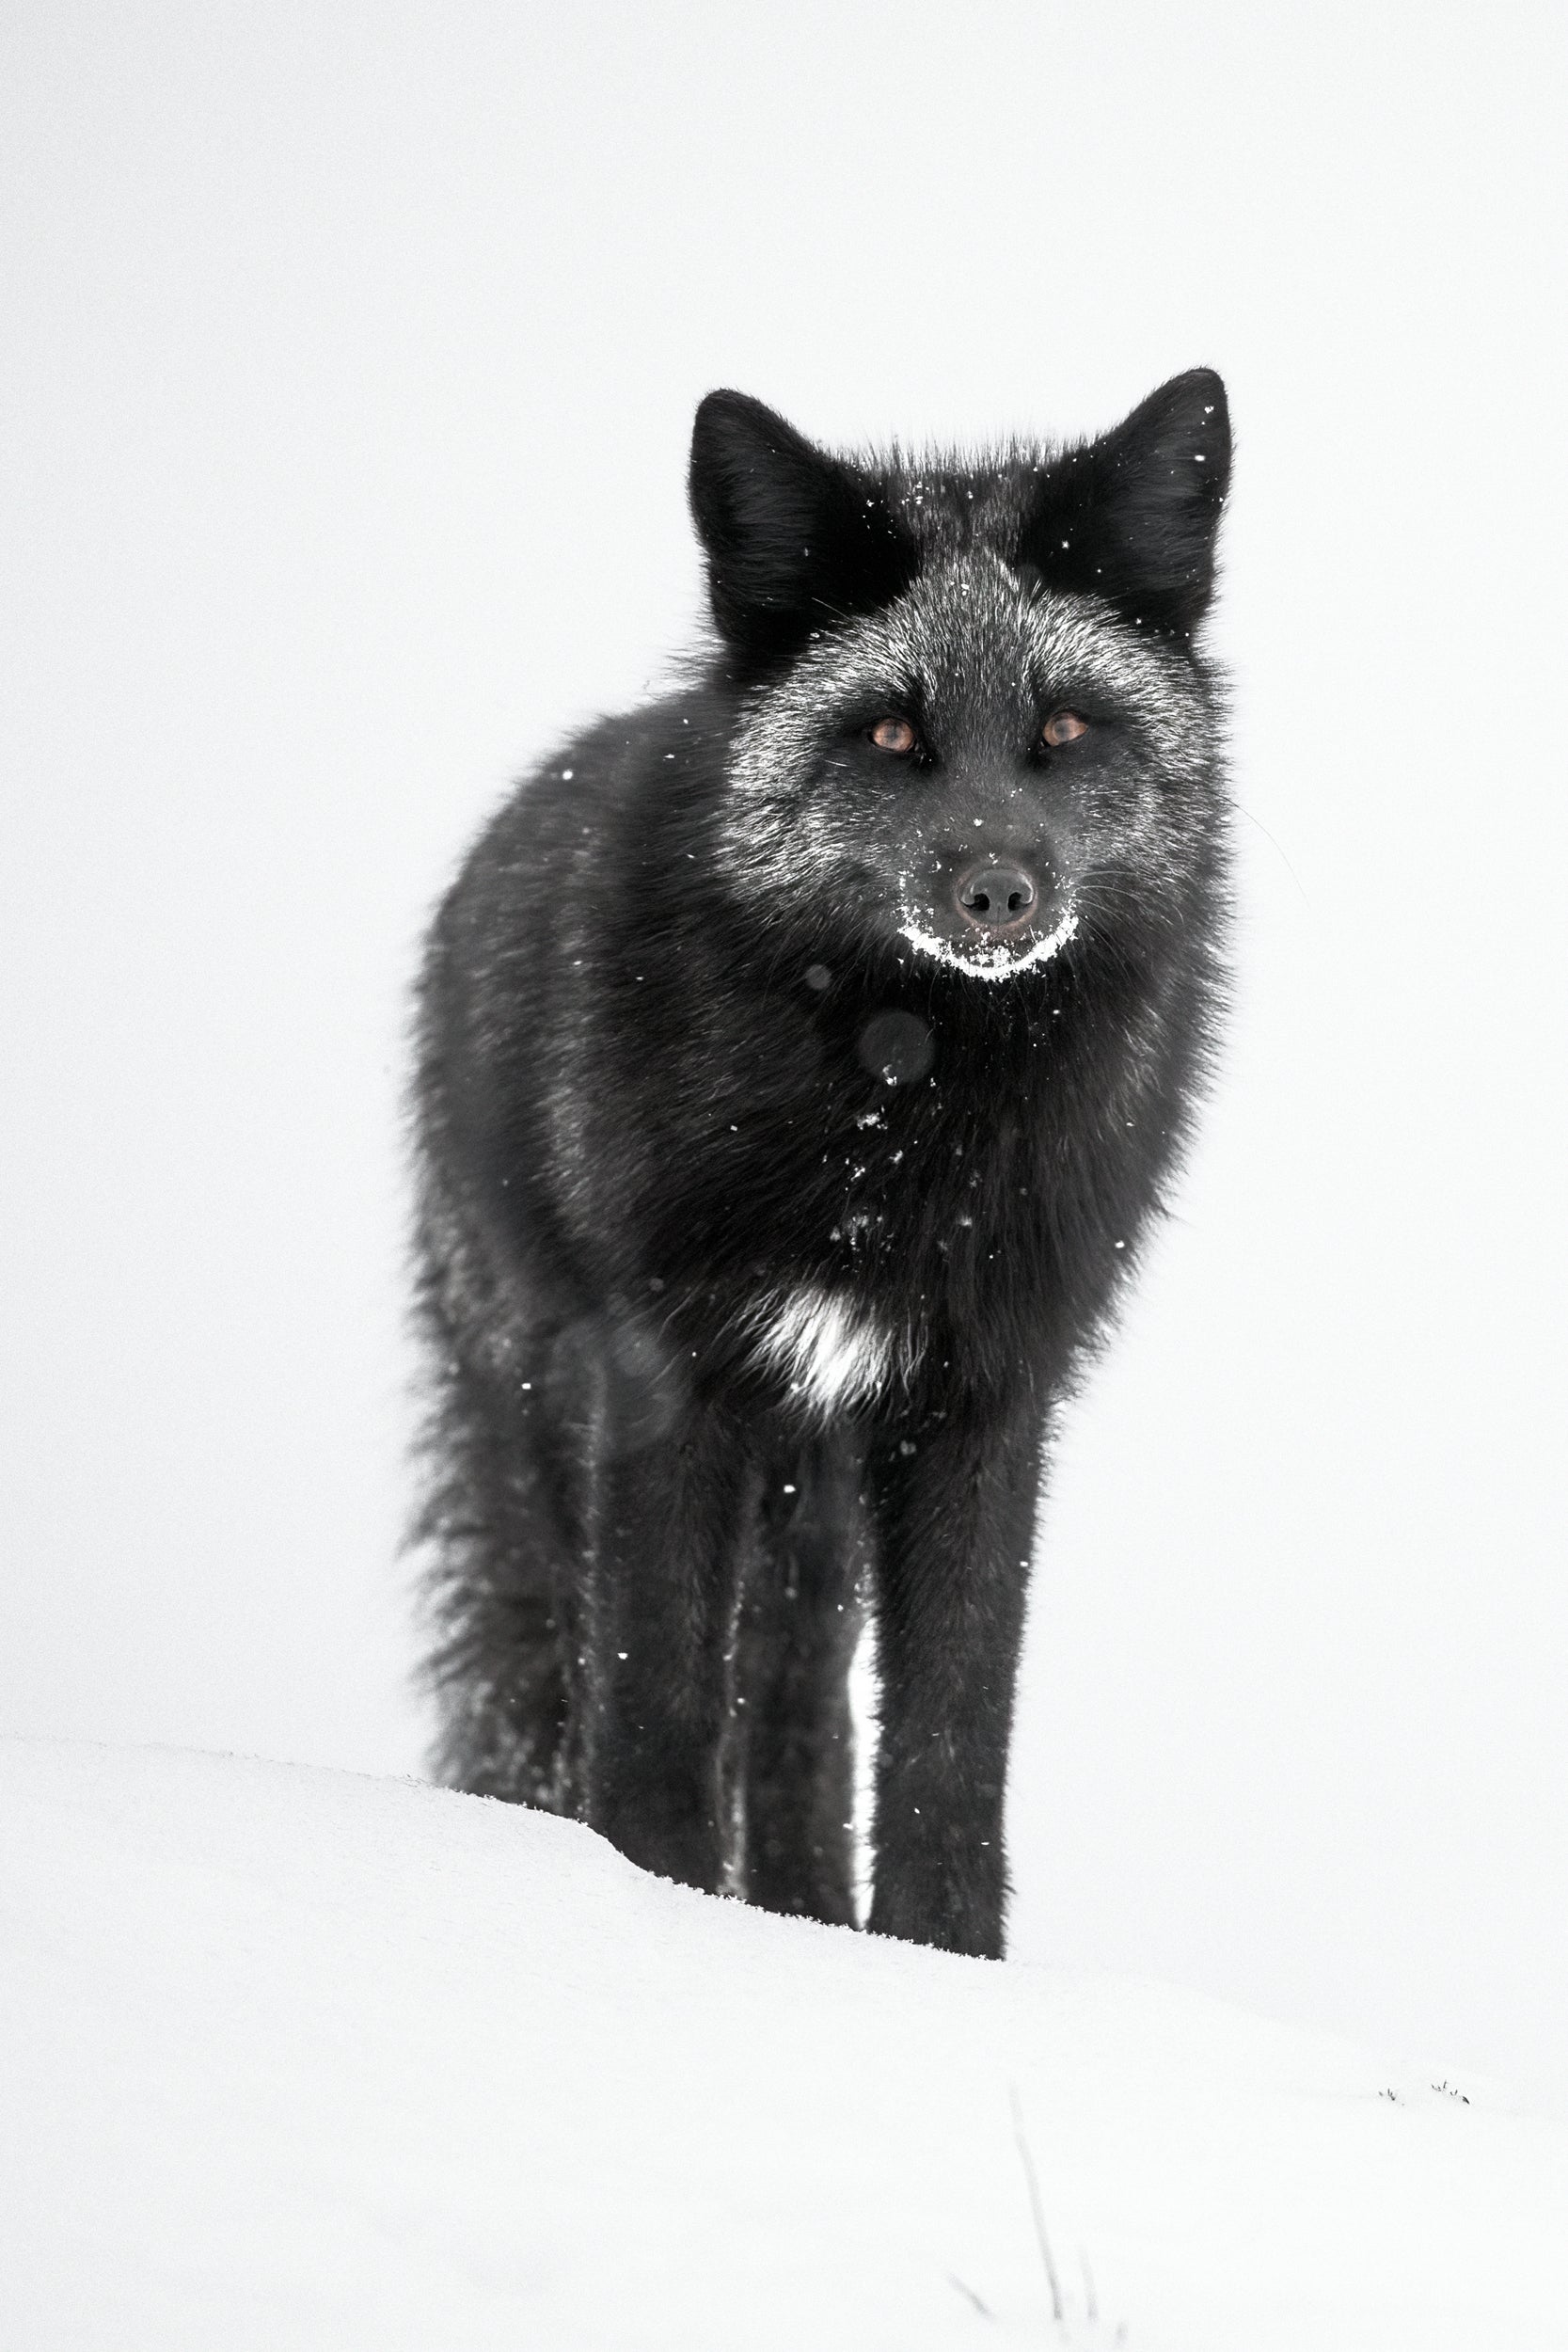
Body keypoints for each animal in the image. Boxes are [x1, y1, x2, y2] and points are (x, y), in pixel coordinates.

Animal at [412, 370, 1232, 1958]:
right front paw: (650, 1914)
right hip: (548, 1421)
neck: (897, 1114)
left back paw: (798, 1922)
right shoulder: (666, 1372)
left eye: (1062, 727)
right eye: (894, 737)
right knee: (566, 1682)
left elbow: (945, 1746)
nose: (997, 892)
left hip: (813, 1506)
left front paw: (933, 1965)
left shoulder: (981, 1398)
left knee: (795, 1719)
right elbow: (656, 1708)